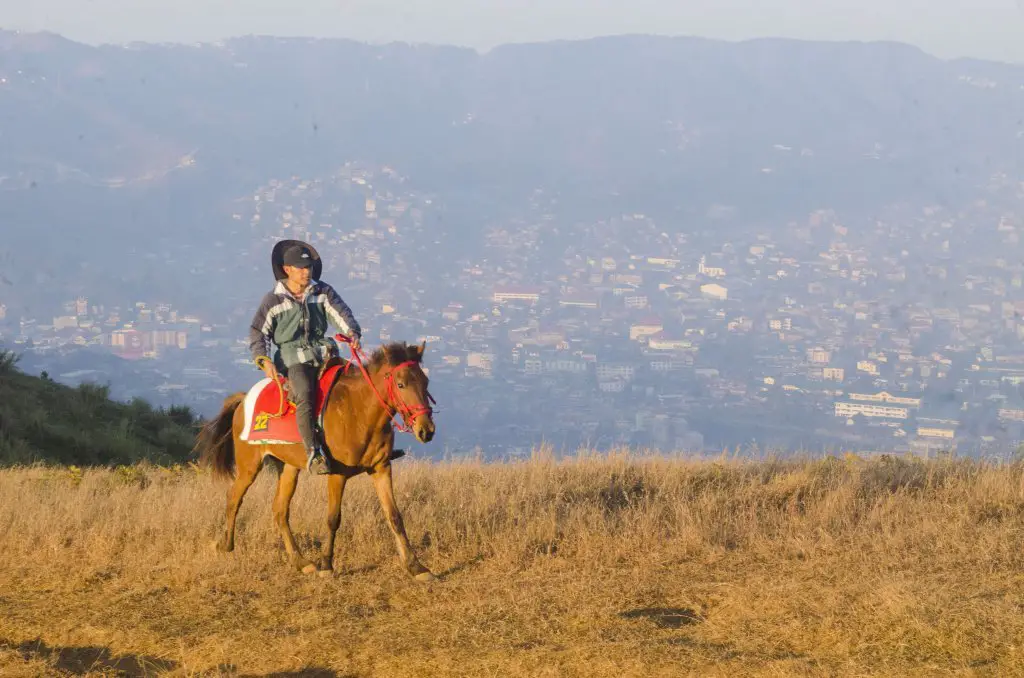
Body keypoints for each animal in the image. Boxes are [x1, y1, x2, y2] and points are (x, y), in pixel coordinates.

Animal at [192, 340, 436, 585]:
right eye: (401, 384)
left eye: (425, 382)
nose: (426, 430)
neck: (359, 412)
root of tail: (243, 400)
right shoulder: (338, 474)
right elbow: (333, 518)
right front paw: (327, 565)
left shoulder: (381, 468)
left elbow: (394, 515)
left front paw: (416, 566)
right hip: (249, 465)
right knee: (234, 497)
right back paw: (226, 544)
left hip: (288, 468)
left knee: (279, 510)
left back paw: (300, 562)